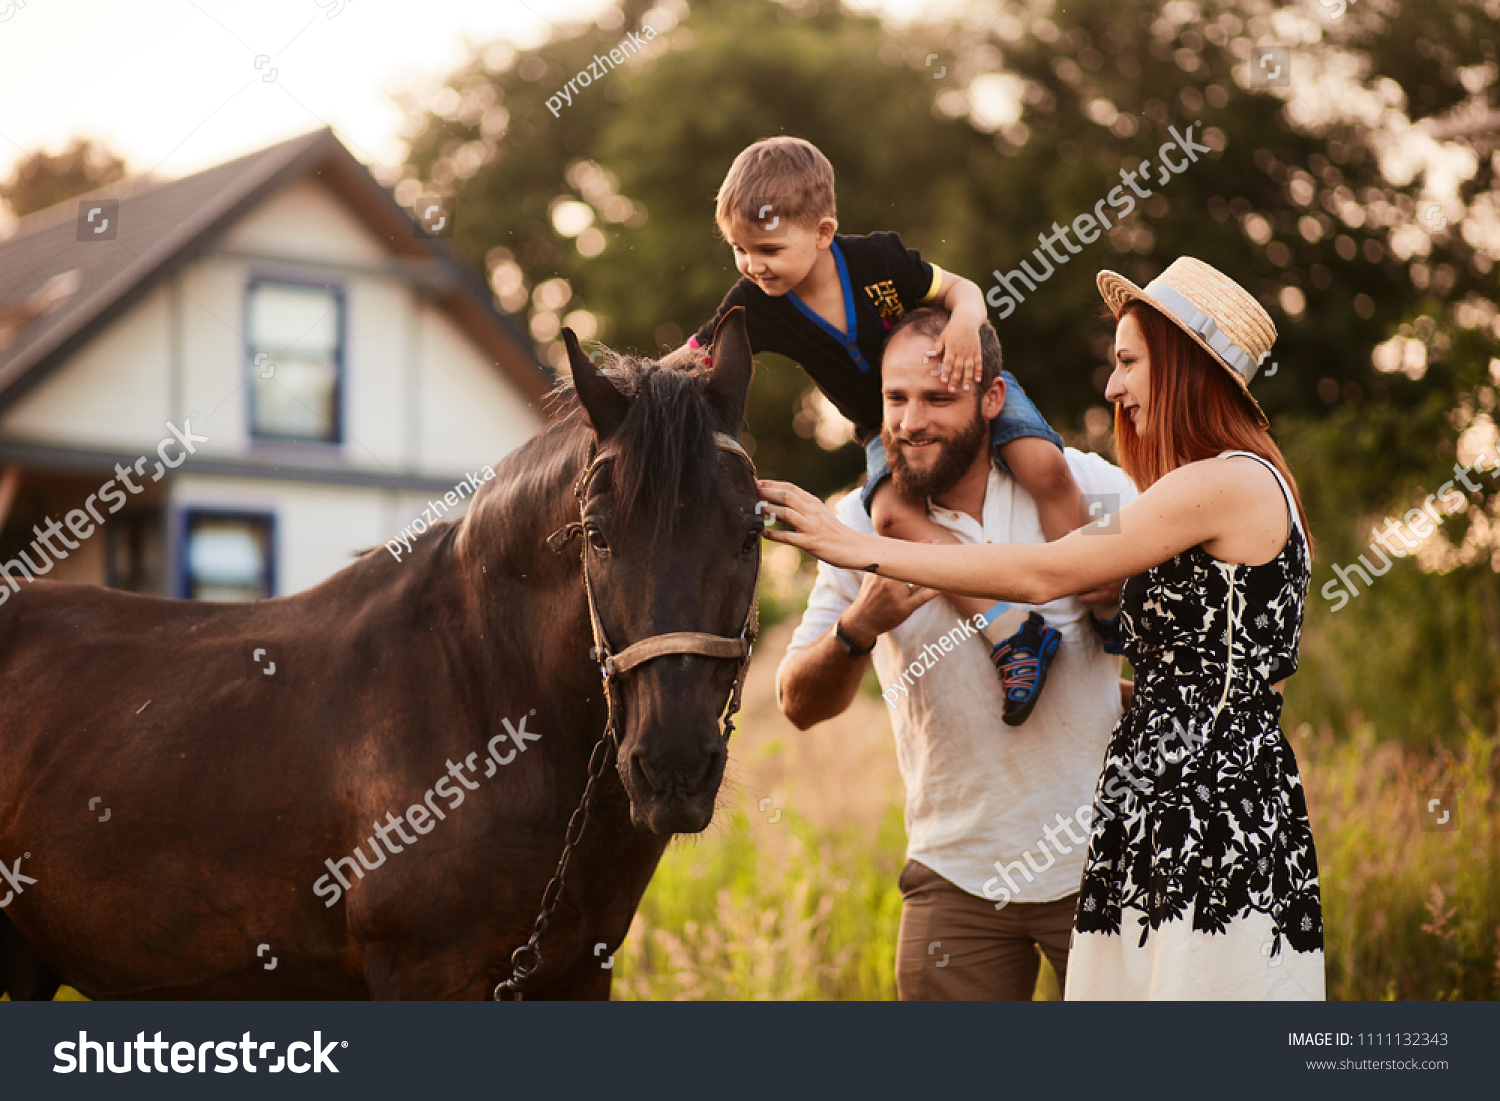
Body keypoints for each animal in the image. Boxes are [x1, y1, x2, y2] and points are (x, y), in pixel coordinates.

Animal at [0, 309, 762, 1002]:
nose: (672, 765)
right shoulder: (427, 975)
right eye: (597, 535)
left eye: (753, 530)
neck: (485, 685)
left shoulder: (579, 976)